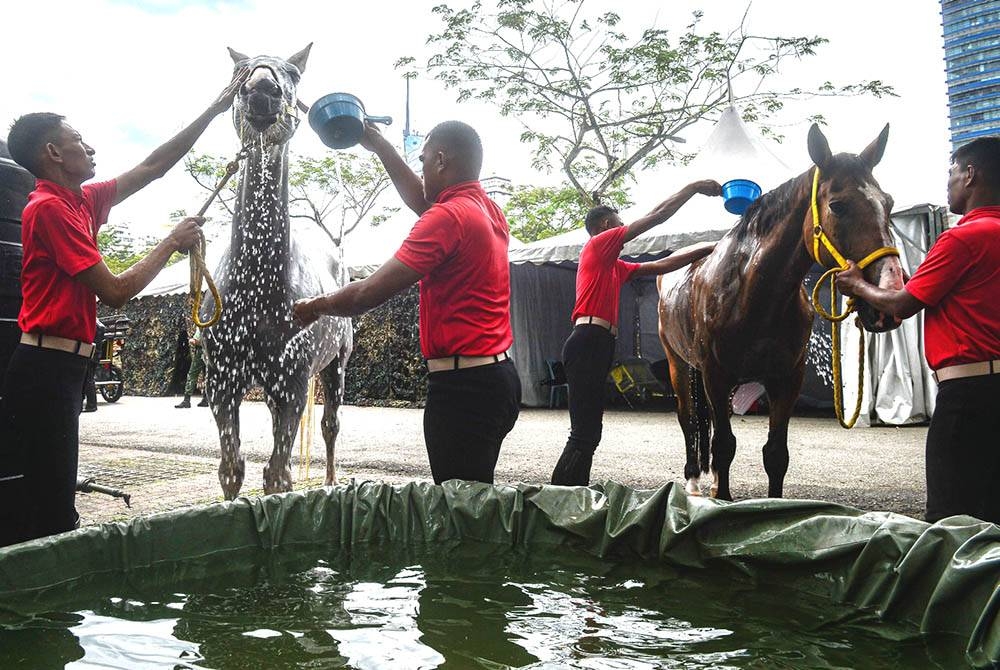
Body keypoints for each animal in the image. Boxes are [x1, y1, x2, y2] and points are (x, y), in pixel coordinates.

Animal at [660, 124, 904, 504]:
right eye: (837, 205)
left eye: (888, 203)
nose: (888, 296)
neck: (752, 295)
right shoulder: (717, 375)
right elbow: (725, 445)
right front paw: (722, 497)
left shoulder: (786, 380)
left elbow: (775, 454)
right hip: (679, 364)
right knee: (689, 421)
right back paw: (694, 480)